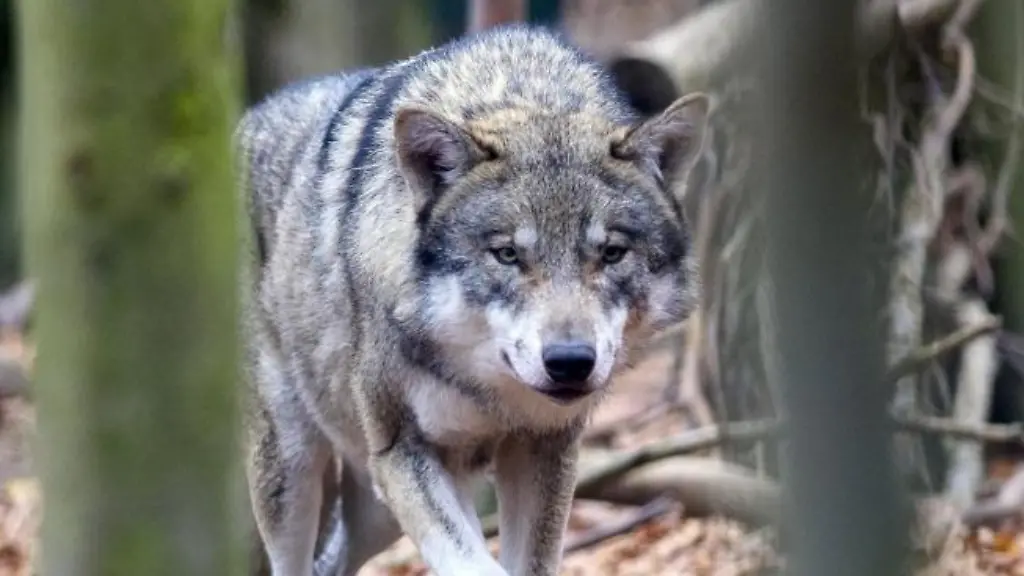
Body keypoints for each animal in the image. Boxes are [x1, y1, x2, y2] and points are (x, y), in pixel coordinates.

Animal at [235, 23, 708, 576]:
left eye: (611, 253)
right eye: (507, 254)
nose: (570, 362)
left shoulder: (545, 448)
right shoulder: (402, 452)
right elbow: (474, 563)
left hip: (375, 512)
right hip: (295, 467)